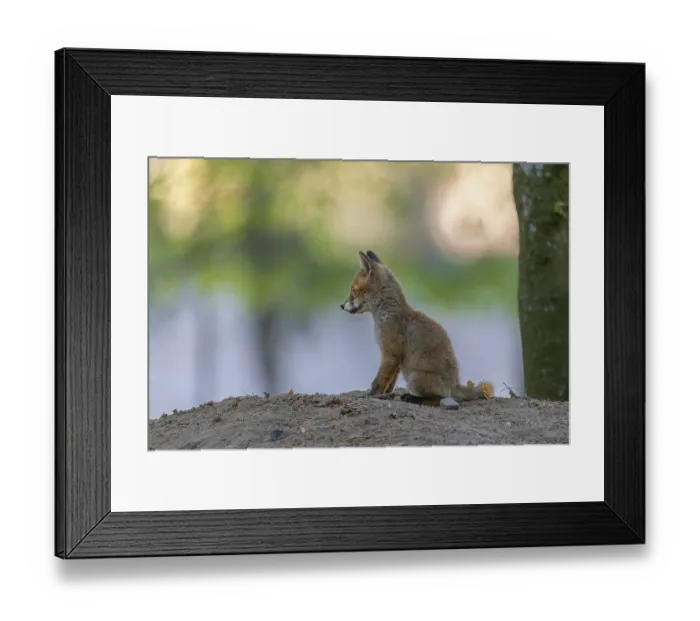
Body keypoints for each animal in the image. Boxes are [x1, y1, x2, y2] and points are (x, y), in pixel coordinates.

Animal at [341, 250, 490, 405]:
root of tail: (455, 385)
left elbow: (379, 381)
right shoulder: (396, 359)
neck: (386, 314)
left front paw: (374, 395)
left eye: (353, 290)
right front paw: (387, 395)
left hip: (414, 378)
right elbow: (390, 383)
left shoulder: (390, 354)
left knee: (439, 399)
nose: (341, 305)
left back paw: (413, 398)